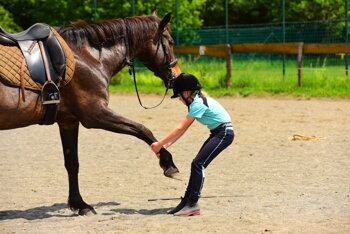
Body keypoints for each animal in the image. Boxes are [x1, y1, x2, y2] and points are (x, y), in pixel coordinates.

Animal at [0, 11, 180, 215]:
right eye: (171, 41)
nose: (176, 76)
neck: (88, 57)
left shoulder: (68, 121)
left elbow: (72, 163)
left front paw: (80, 205)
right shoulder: (95, 114)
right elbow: (142, 129)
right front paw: (169, 164)